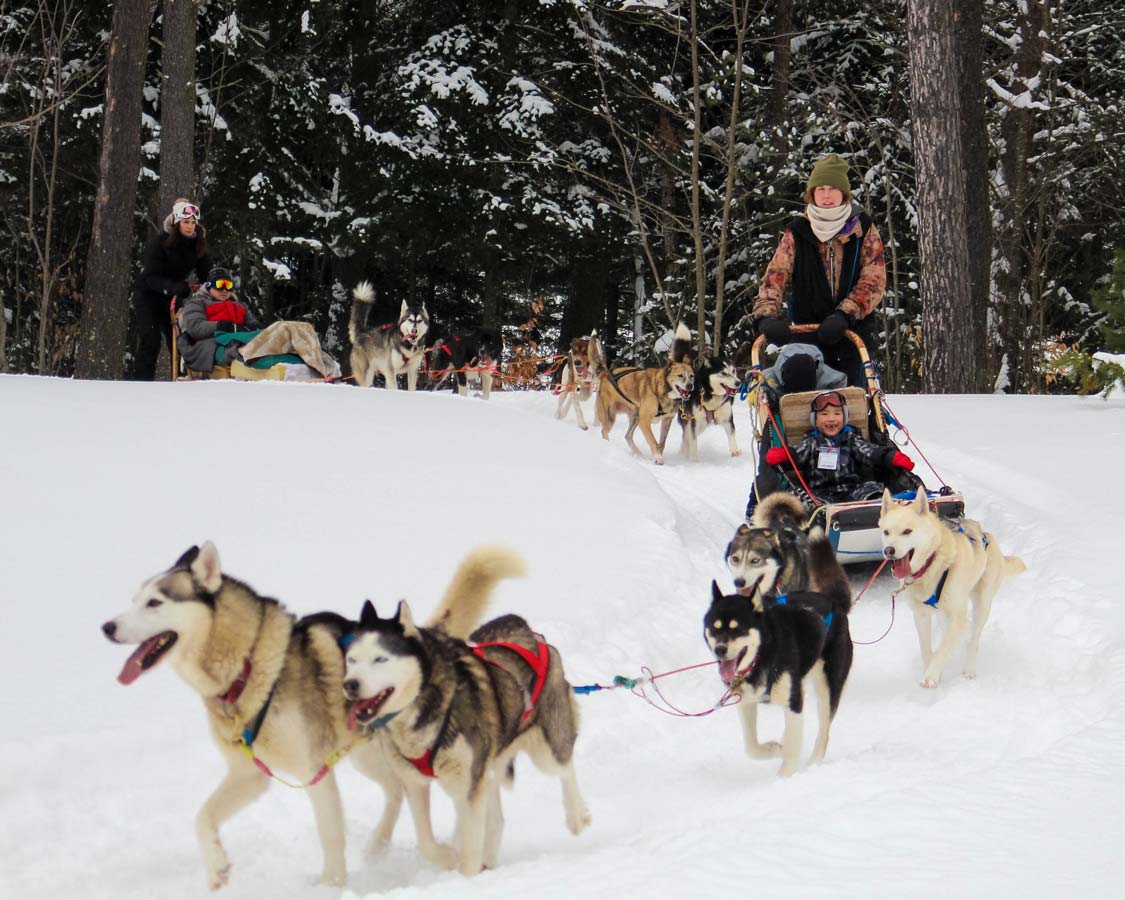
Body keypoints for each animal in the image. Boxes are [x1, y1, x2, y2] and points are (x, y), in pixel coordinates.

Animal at [101, 542, 517, 886]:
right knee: (397, 790)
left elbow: (330, 837)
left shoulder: (314, 770)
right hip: (369, 754)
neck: (247, 669)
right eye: (134, 599)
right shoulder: (249, 774)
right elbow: (202, 817)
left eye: (155, 602)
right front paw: (217, 868)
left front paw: (331, 887)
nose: (106, 626)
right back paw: (379, 848)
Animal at [339, 580, 589, 877]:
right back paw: (486, 857)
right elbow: (426, 841)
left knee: (565, 767)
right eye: (352, 660)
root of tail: (529, 632)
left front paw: (466, 875)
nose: (350, 684)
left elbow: (470, 841)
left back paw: (577, 815)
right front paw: (448, 856)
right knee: (495, 819)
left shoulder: (468, 784)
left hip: (545, 750)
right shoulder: (416, 783)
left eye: (380, 659)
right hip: (486, 768)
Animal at [598, 321, 693, 463]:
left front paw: (658, 454)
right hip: (610, 416)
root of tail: (606, 376)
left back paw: (638, 454)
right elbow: (653, 441)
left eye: (692, 376)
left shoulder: (667, 421)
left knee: (627, 436)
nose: (690, 386)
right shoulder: (645, 420)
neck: (661, 390)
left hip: (635, 417)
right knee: (604, 432)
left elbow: (661, 443)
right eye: (680, 376)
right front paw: (658, 458)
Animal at [702, 580, 846, 778]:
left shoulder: (793, 701)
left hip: (827, 689)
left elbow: (792, 747)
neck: (762, 655)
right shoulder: (745, 702)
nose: (720, 649)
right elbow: (751, 748)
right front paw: (776, 748)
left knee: (823, 733)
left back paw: (812, 765)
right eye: (714, 628)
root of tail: (833, 603)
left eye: (737, 628)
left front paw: (785, 777)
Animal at [877, 488, 1030, 684]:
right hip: (945, 614)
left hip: (981, 605)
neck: (931, 565)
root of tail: (985, 534)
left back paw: (969, 668)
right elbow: (926, 649)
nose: (888, 550)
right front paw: (930, 669)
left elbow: (943, 649)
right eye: (886, 532)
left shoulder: (958, 617)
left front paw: (931, 675)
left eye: (907, 531)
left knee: (973, 640)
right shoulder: (921, 616)